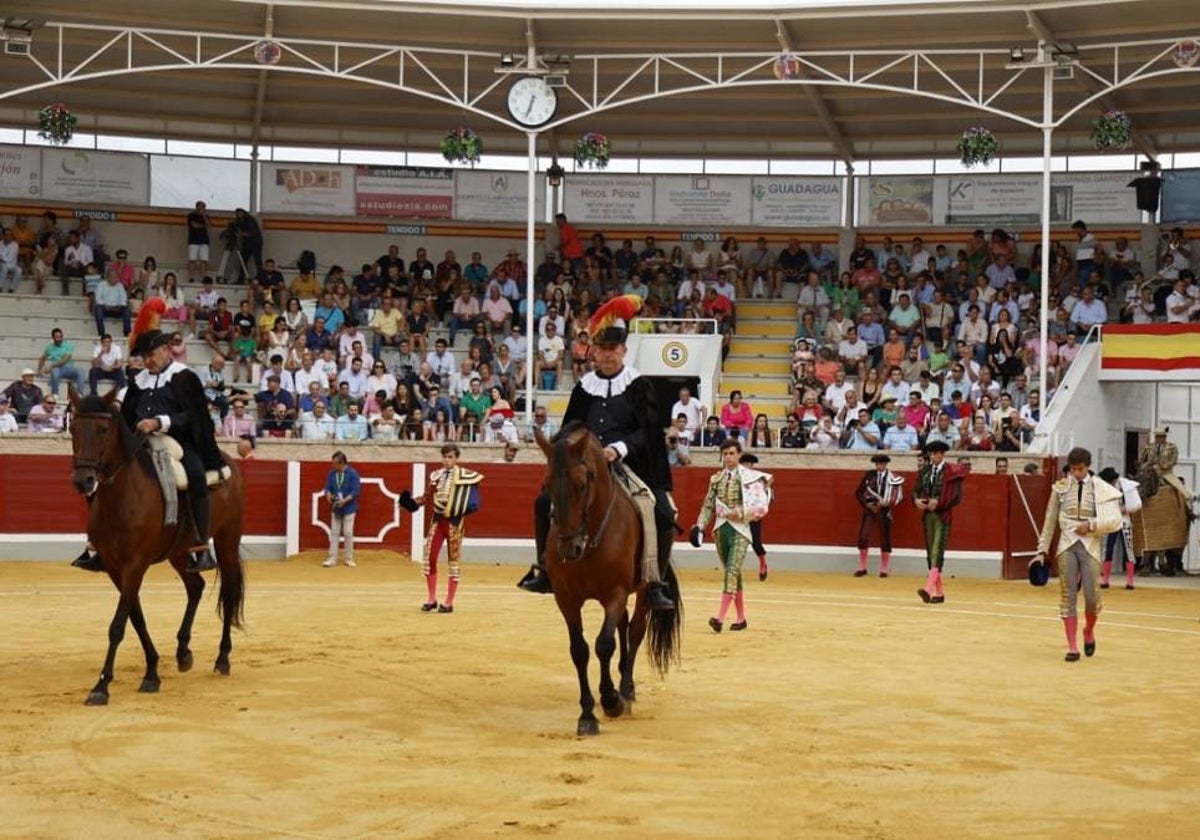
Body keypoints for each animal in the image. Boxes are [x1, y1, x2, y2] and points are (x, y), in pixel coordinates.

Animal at [68, 391, 246, 705]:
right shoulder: (115, 568)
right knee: (196, 587)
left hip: (227, 541)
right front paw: (152, 672)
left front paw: (101, 686)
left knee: (228, 590)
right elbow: (135, 618)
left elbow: (118, 625)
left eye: (103, 429)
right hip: (178, 552)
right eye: (73, 428)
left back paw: (222, 659)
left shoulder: (135, 565)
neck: (121, 497)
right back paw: (183, 653)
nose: (83, 480)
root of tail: (228, 462)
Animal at [537, 422, 686, 729]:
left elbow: (604, 644)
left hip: (643, 589)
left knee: (635, 631)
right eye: (547, 484)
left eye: (582, 484)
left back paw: (626, 691)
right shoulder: (566, 599)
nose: (569, 548)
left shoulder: (615, 593)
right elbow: (579, 649)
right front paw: (587, 714)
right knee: (623, 624)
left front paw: (610, 700)